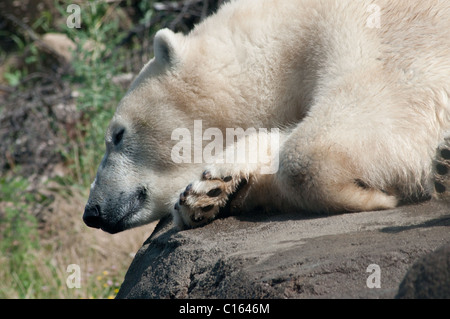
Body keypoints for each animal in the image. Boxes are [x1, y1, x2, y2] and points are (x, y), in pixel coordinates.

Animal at [82, 0, 448, 235]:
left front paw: (376, 197)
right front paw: (208, 191)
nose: (91, 212)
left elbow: (384, 101)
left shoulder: (384, 32)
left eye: (118, 135)